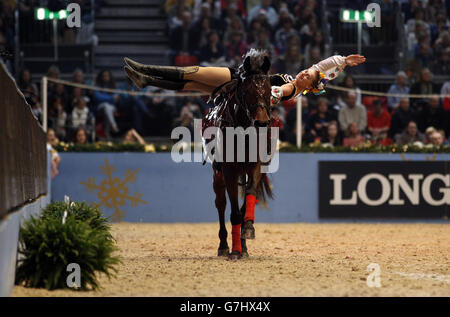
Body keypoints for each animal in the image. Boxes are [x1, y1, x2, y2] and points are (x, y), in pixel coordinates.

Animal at [203, 50, 274, 260]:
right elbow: (233, 211)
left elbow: (247, 200)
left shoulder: (255, 166)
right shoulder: (229, 170)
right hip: (217, 174)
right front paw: (234, 250)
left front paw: (247, 231)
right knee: (220, 203)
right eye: (247, 90)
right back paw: (224, 246)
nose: (261, 122)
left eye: (269, 89)